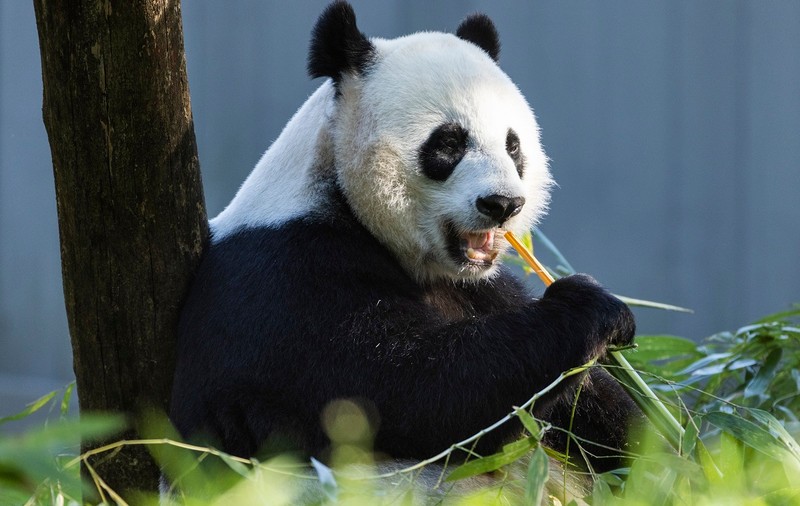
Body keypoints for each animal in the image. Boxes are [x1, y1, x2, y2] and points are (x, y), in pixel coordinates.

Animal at [170, 0, 641, 484]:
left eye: (513, 146)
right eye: (448, 143)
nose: (503, 204)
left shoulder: (482, 289)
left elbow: (590, 408)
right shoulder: (287, 282)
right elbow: (414, 390)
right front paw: (591, 305)